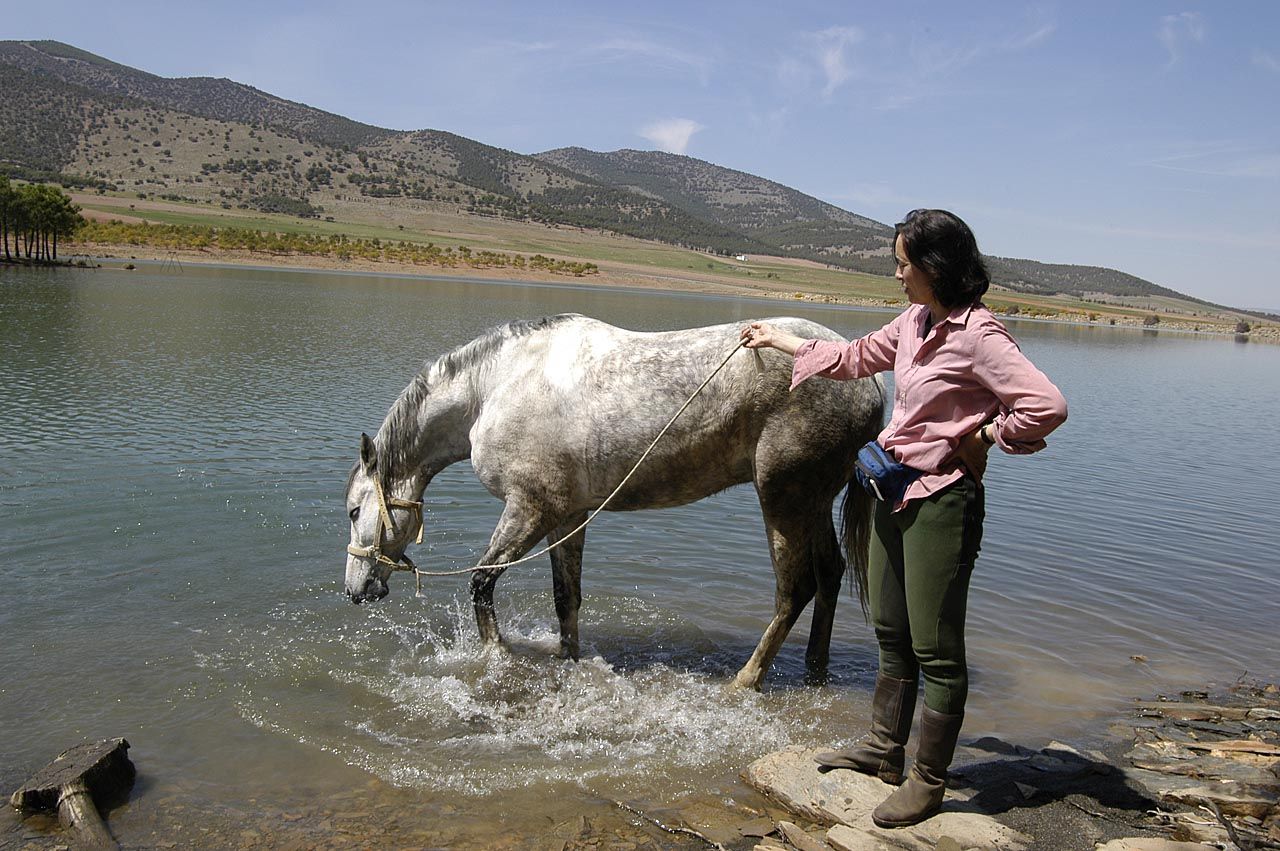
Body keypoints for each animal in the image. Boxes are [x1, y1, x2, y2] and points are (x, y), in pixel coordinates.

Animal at [340, 314, 885, 685]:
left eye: (353, 510)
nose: (355, 591)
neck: (494, 387)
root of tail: (870, 379)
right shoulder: (567, 516)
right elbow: (566, 598)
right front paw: (568, 661)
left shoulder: (529, 509)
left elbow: (482, 583)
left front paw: (498, 658)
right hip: (813, 503)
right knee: (830, 575)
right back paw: (815, 668)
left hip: (783, 499)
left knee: (795, 590)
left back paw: (746, 679)